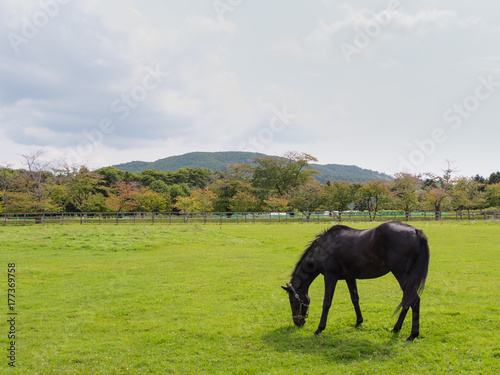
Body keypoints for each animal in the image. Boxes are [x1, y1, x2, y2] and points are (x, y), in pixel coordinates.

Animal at [282, 222, 430, 342]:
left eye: (291, 301)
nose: (297, 322)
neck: (325, 247)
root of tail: (416, 231)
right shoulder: (350, 277)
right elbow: (355, 299)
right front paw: (359, 322)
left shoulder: (330, 276)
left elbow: (326, 303)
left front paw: (319, 329)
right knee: (408, 300)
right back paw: (396, 328)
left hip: (402, 275)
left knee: (413, 299)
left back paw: (412, 335)